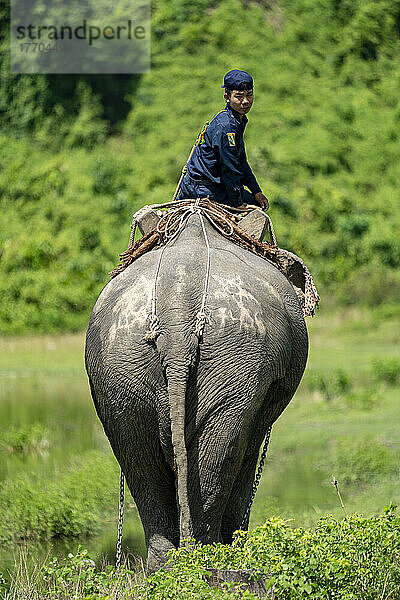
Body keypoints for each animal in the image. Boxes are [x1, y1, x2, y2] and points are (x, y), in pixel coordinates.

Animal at [85, 210, 310, 572]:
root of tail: (176, 319)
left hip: (119, 371)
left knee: (139, 462)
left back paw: (169, 568)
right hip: (234, 362)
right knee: (220, 457)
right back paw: (211, 560)